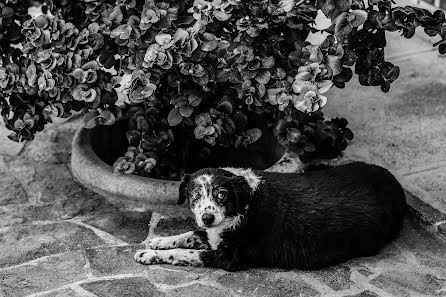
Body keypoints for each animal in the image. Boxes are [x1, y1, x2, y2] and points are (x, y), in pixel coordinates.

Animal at [134, 161, 406, 270]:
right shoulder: (214, 235)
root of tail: (394, 183)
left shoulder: (228, 257)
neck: (245, 202)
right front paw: (157, 241)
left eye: (222, 194)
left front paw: (150, 254)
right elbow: (189, 233)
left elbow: (182, 253)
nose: (208, 218)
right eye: (195, 195)